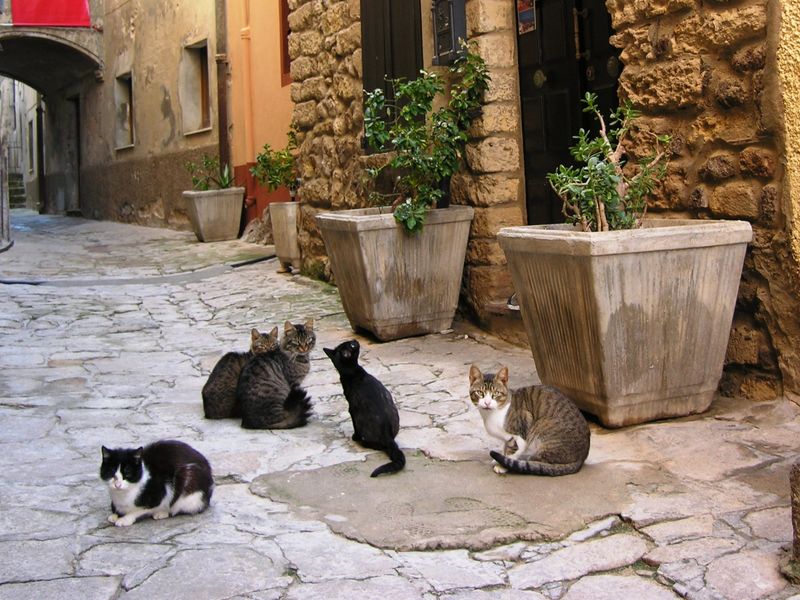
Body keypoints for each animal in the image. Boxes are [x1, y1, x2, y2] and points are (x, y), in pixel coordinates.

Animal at [322, 340, 404, 476]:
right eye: (351, 345)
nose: (354, 340)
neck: (353, 372)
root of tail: (388, 435)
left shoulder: (352, 408)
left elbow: (354, 424)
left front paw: (354, 436)